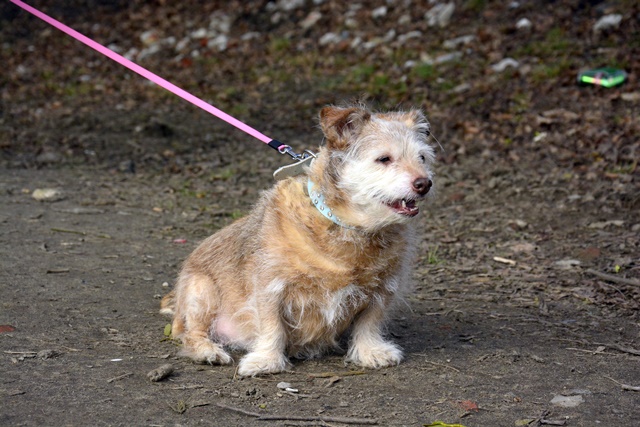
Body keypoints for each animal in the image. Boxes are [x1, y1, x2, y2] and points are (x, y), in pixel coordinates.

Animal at [160, 105, 435, 377]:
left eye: (422, 157)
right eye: (384, 159)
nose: (425, 184)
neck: (349, 228)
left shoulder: (383, 289)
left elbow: (370, 323)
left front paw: (371, 351)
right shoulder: (270, 287)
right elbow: (271, 326)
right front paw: (266, 360)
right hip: (201, 292)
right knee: (190, 333)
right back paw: (207, 350)